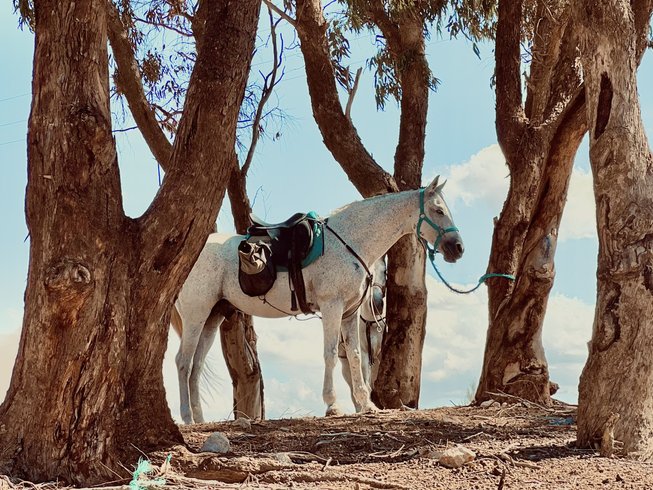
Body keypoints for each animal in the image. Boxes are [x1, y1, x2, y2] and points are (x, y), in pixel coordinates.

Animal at [173, 176, 463, 423]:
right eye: (438, 211)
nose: (458, 248)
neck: (350, 241)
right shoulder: (332, 307)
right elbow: (331, 354)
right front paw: (332, 404)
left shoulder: (349, 314)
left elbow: (355, 356)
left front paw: (366, 404)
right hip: (196, 317)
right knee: (183, 363)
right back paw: (187, 418)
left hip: (212, 318)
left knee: (196, 367)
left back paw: (199, 419)